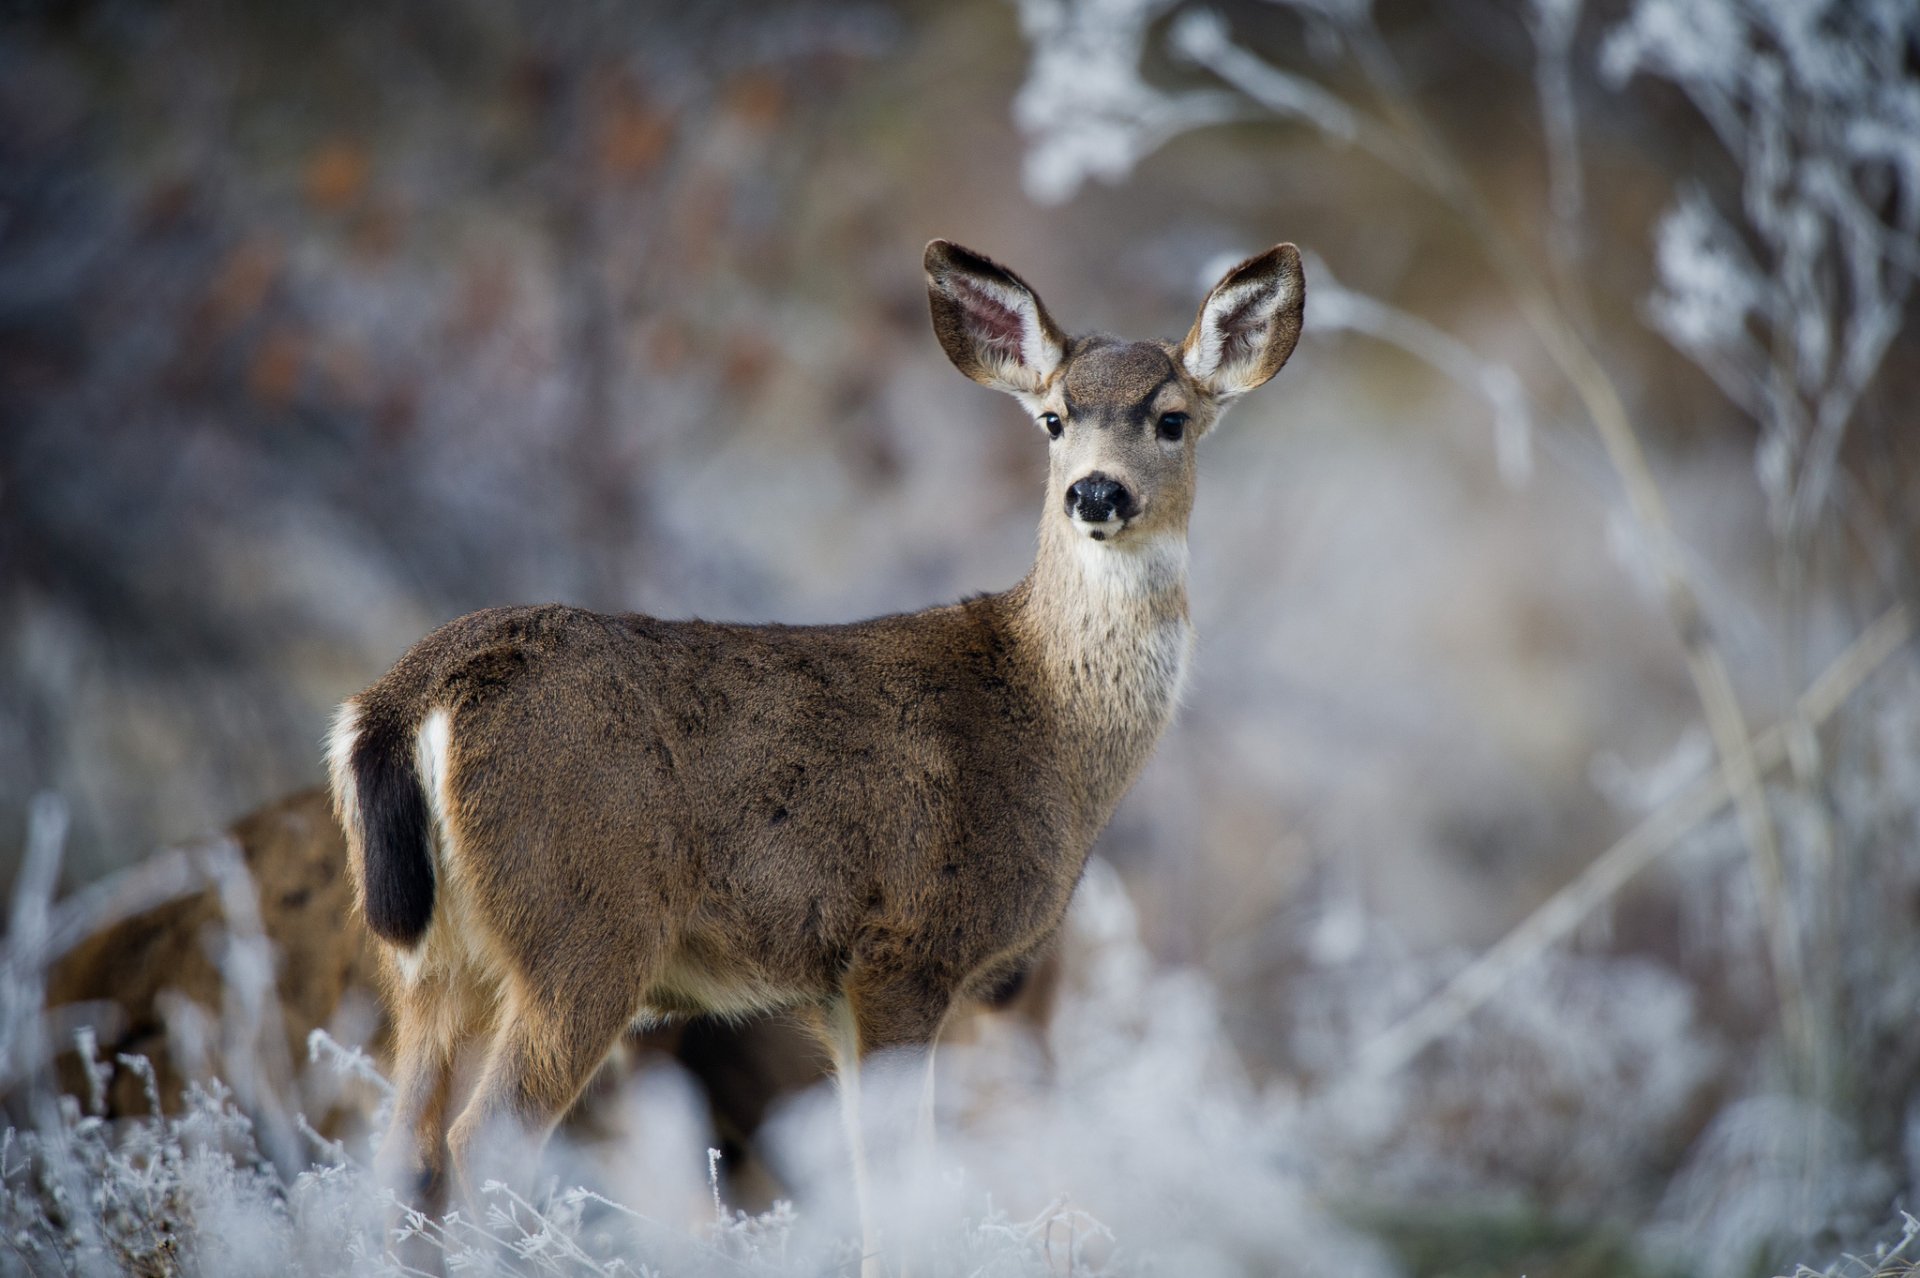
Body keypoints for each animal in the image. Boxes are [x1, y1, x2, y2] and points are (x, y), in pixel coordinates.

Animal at [326, 236, 1305, 1266]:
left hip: (429, 963)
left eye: (1171, 419)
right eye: (1053, 419)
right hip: (583, 925)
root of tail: (403, 699)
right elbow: (899, 1185)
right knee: (485, 1141)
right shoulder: (908, 946)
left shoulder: (835, 985)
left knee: (402, 1156)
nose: (1096, 492)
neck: (1048, 720)